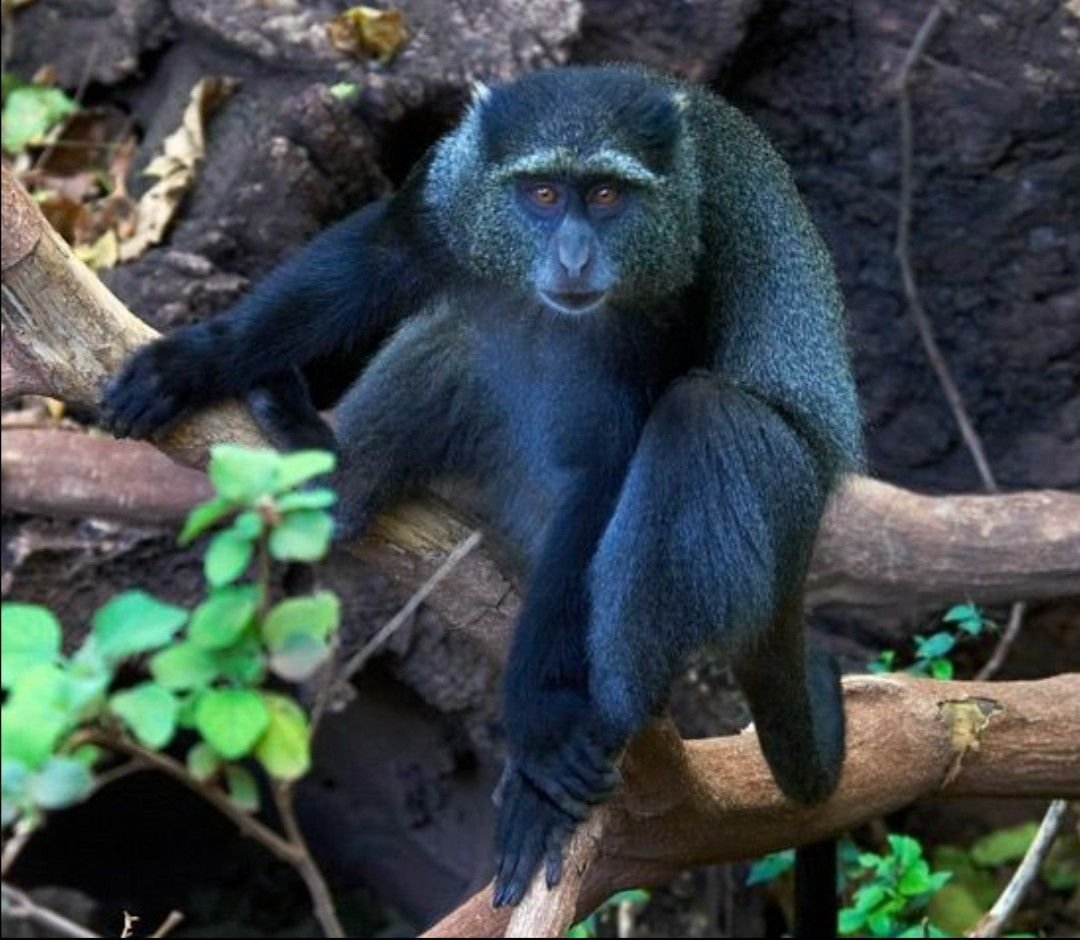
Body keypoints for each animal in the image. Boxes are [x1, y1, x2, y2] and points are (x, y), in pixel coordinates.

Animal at [101, 65, 862, 931]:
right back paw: (331, 476)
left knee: (704, 421)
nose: (573, 255)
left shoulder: (679, 282)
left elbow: (606, 470)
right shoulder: (449, 184)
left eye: (606, 197)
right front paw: (197, 359)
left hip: (786, 499)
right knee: (464, 329)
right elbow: (379, 254)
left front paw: (540, 725)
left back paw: (603, 720)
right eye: (542, 194)